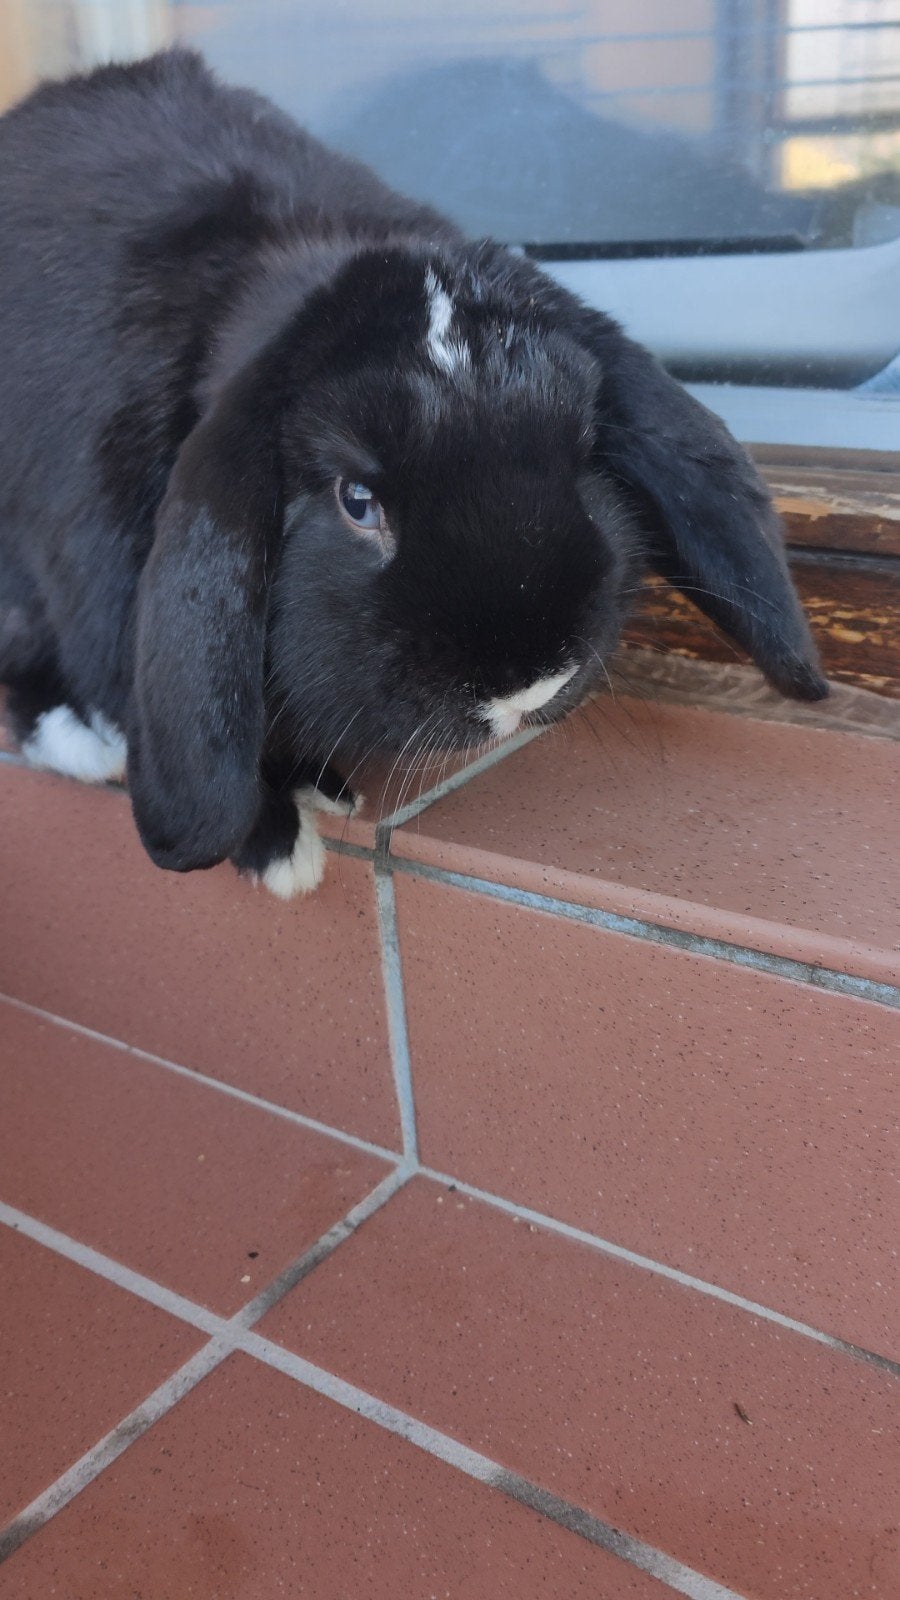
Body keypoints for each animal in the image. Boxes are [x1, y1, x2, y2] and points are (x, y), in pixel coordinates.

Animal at [0, 49, 827, 898]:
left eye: (584, 450)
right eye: (357, 501)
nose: (525, 688)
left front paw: (315, 788)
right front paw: (278, 848)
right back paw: (82, 741)